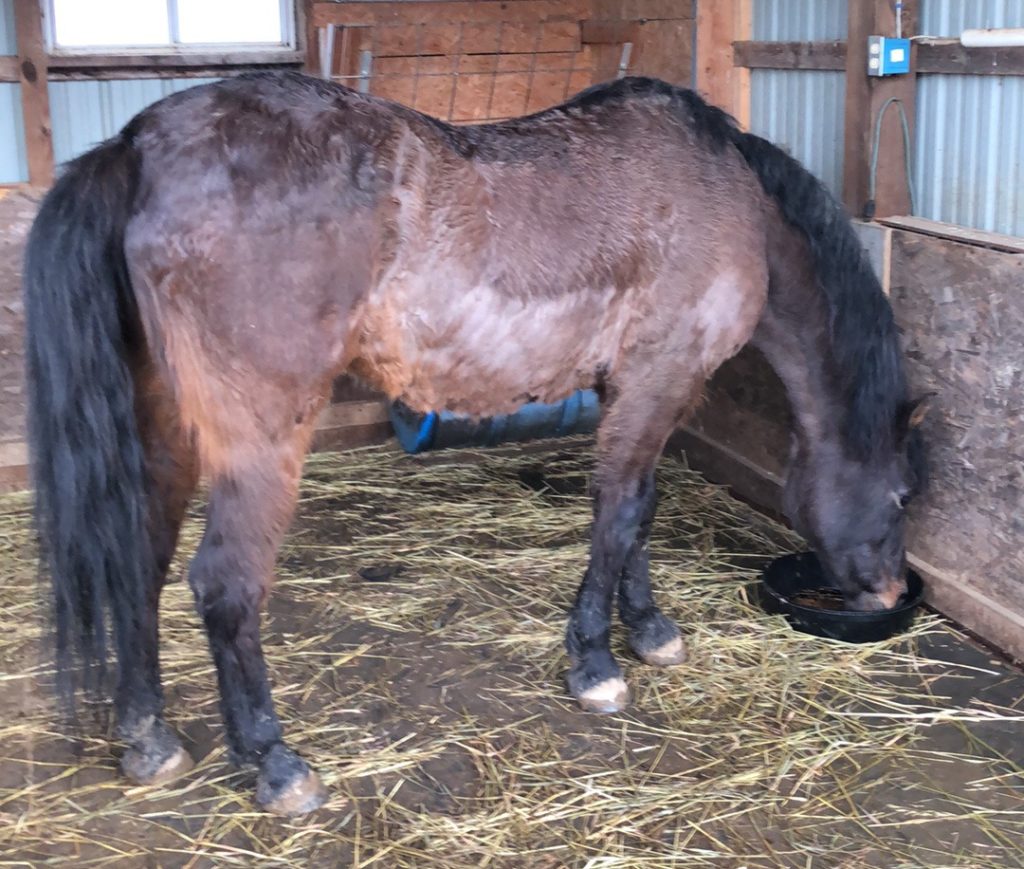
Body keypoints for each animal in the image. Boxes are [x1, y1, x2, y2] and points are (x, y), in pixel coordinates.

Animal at [22, 69, 929, 814]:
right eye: (900, 494)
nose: (890, 591)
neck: (724, 191)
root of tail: (137, 147)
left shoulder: (633, 386)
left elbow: (636, 511)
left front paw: (648, 629)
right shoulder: (661, 378)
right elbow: (620, 512)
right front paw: (596, 664)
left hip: (167, 433)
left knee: (138, 561)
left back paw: (149, 737)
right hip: (257, 446)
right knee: (224, 586)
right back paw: (276, 765)